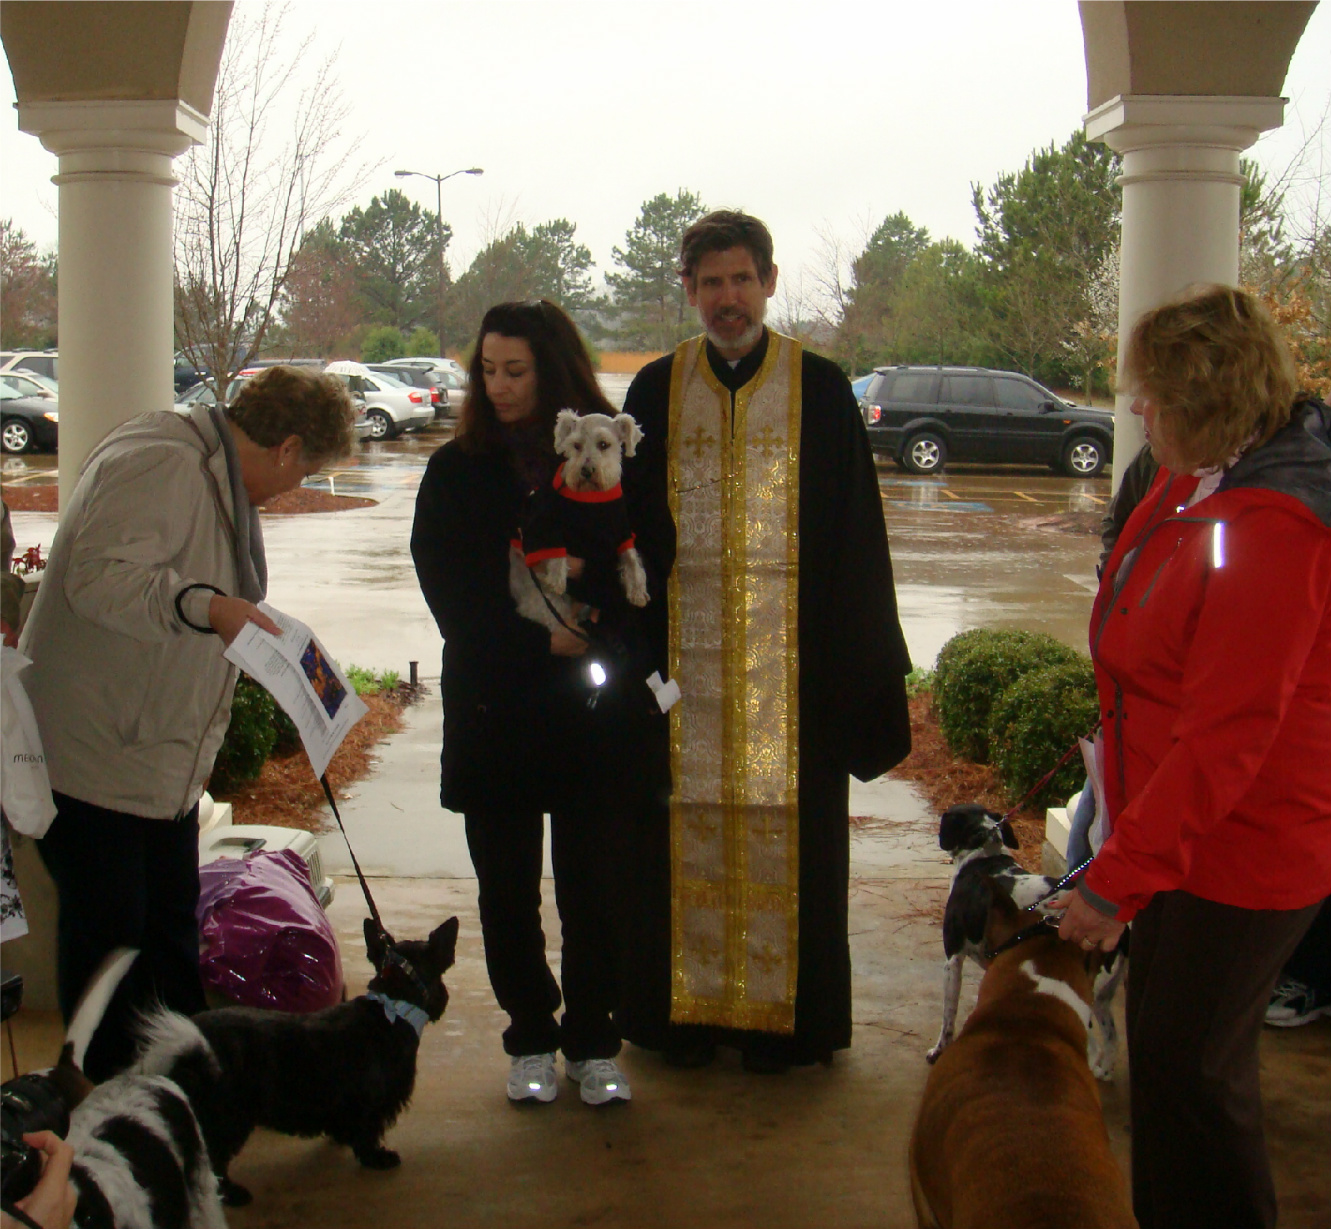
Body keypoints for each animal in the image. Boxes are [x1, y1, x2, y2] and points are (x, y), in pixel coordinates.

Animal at [135, 916, 457, 1203]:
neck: (393, 1008)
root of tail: (187, 1050)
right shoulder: (371, 1105)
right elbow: (367, 1134)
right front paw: (378, 1158)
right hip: (227, 1119)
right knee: (214, 1161)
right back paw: (233, 1194)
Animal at [508, 410, 649, 628]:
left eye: (603, 444)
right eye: (576, 445)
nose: (586, 471)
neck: (590, 497)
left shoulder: (622, 533)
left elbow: (632, 559)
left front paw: (638, 590)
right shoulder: (543, 524)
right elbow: (556, 550)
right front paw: (557, 579)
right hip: (543, 602)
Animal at [931, 809, 1128, 1075]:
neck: (982, 854)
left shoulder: (953, 959)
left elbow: (948, 1016)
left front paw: (938, 1051)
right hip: (1102, 998)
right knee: (1110, 1040)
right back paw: (1102, 1071)